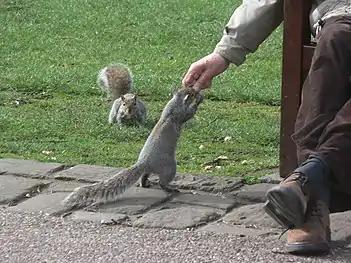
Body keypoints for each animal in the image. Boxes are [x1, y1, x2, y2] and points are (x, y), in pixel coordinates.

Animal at [62, 87, 205, 211]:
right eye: (192, 92)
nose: (198, 92)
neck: (174, 103)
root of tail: (144, 163)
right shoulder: (179, 113)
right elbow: (188, 113)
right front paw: (197, 102)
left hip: (153, 169)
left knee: (144, 176)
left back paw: (145, 184)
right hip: (169, 167)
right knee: (162, 182)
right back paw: (169, 188)